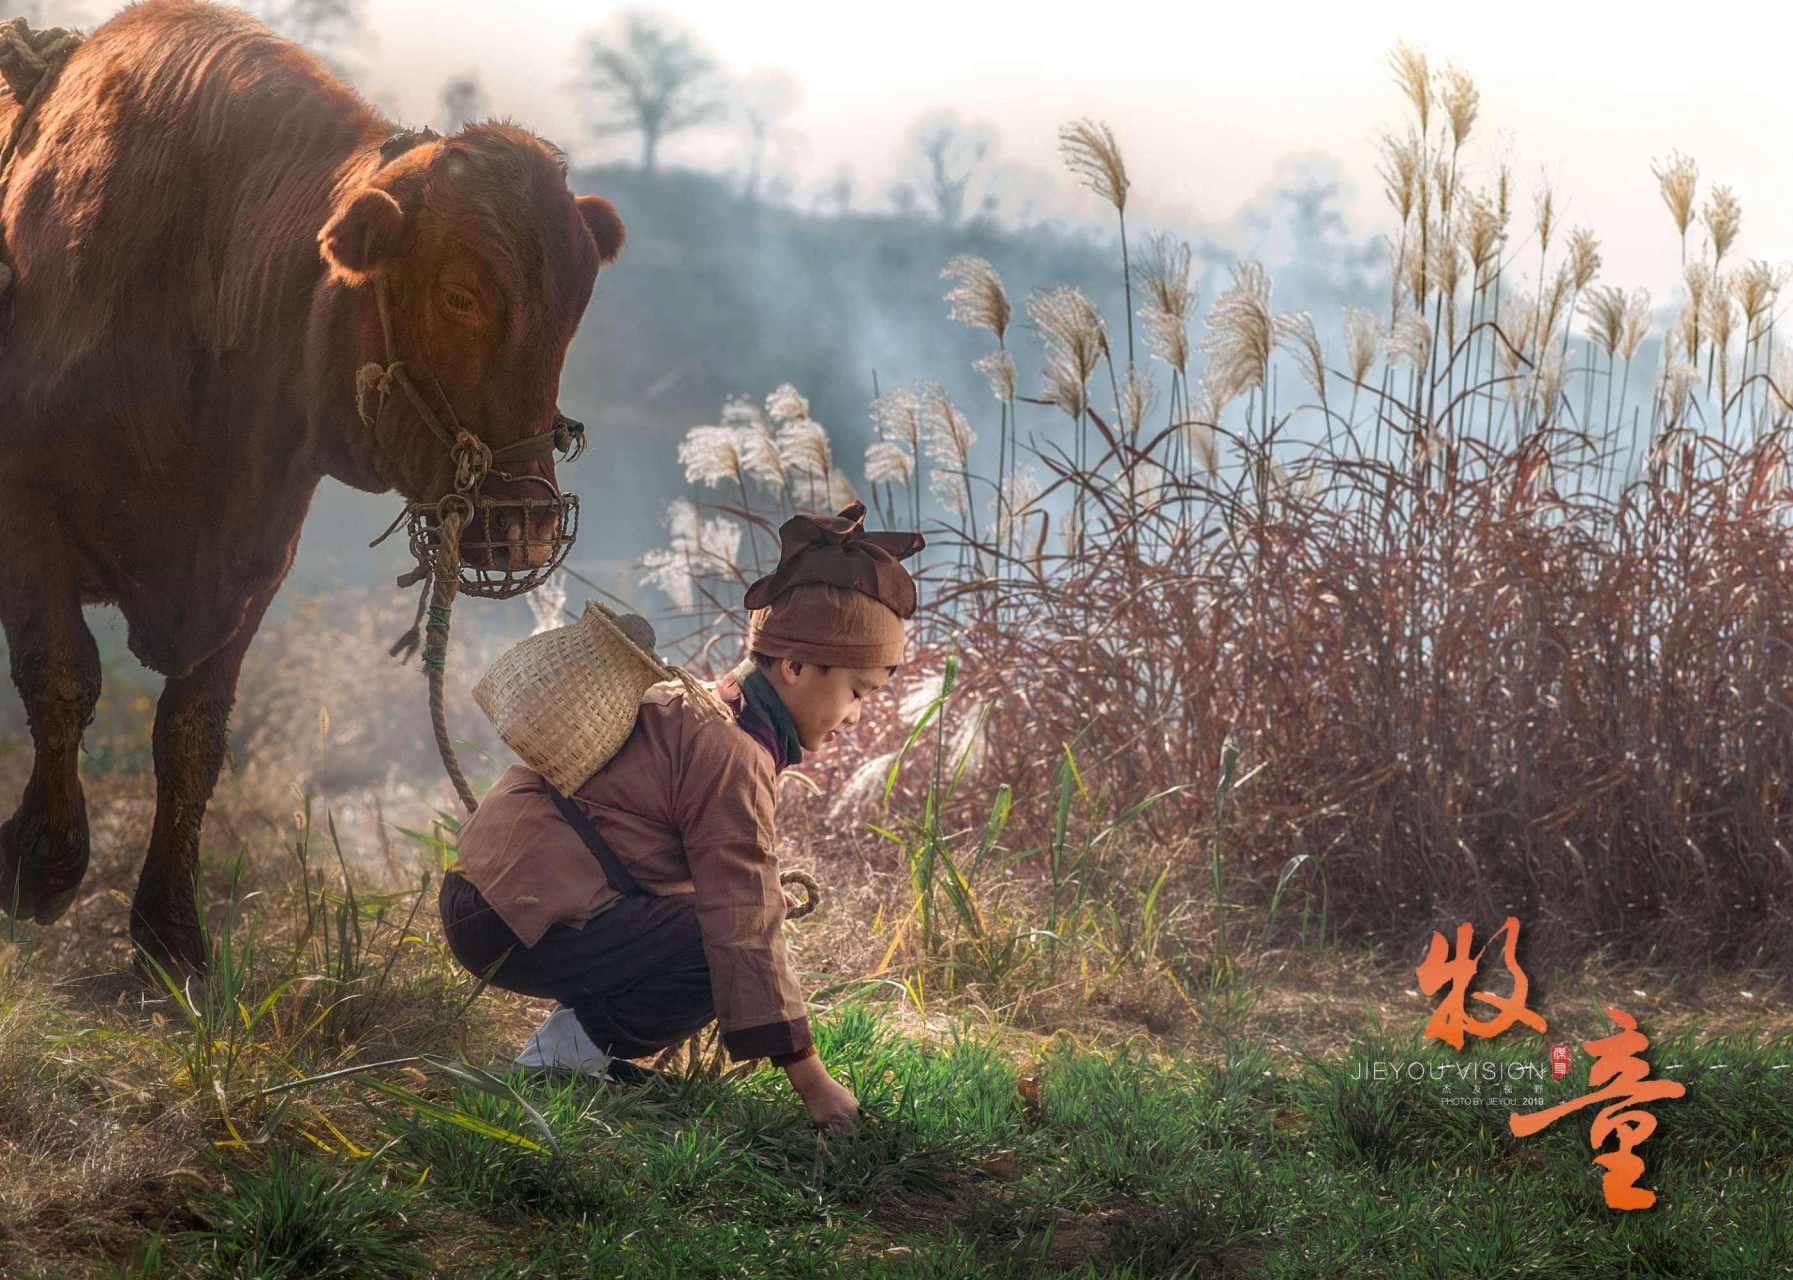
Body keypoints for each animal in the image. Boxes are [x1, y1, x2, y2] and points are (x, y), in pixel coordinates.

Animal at [0, 0, 627, 968]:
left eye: (572, 313)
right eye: (458, 295)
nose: (523, 526)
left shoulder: (256, 558)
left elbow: (192, 734)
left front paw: (170, 930)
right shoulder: (26, 517)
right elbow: (63, 677)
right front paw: (45, 862)